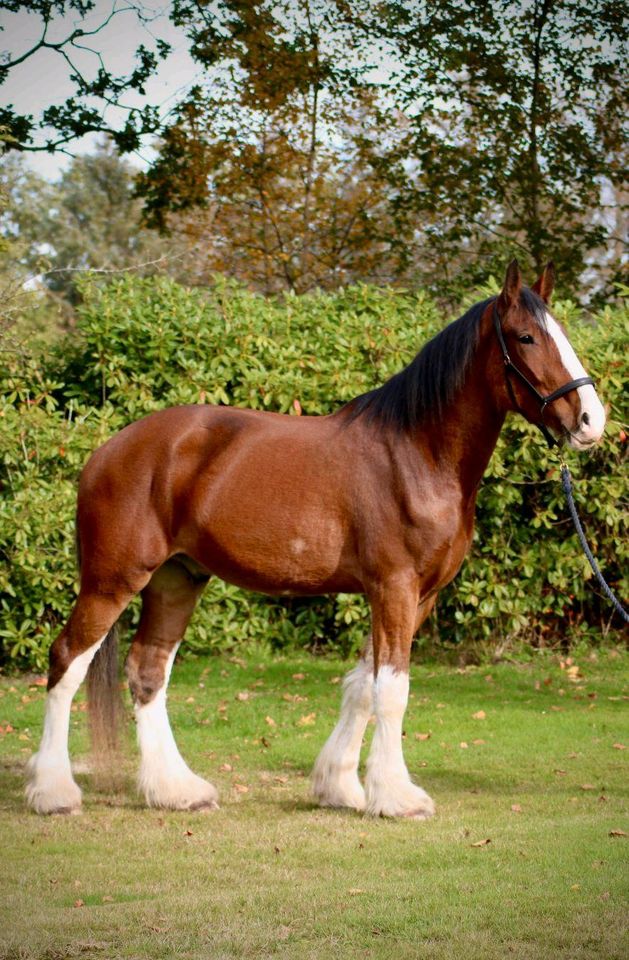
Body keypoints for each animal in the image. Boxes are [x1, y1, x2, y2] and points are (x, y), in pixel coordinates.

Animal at [25, 262, 604, 816]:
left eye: (562, 332)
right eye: (526, 337)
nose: (591, 420)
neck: (416, 453)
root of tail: (107, 452)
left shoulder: (417, 595)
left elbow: (364, 687)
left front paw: (340, 787)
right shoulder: (392, 588)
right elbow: (391, 691)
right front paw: (397, 798)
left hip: (176, 579)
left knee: (148, 672)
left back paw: (177, 791)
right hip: (112, 579)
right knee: (66, 661)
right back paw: (54, 793)